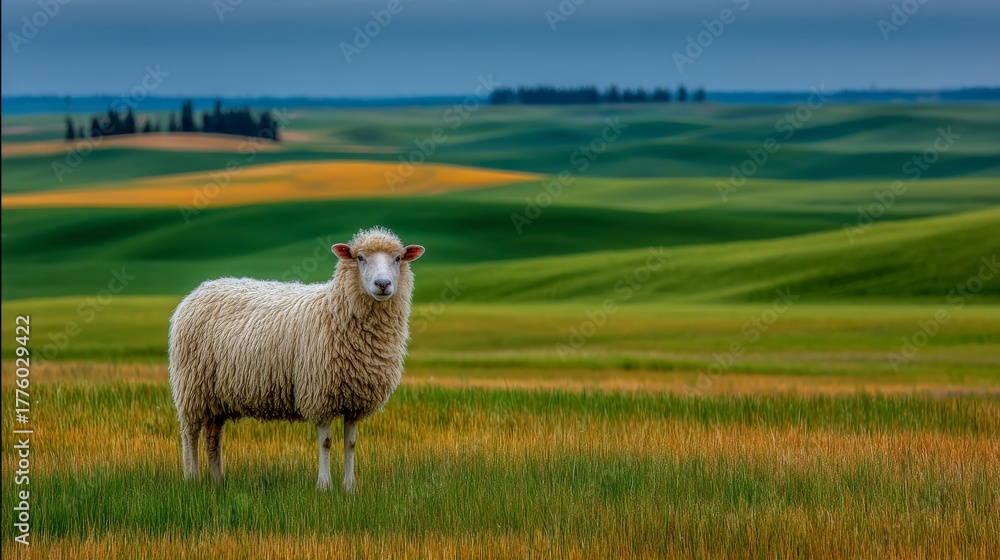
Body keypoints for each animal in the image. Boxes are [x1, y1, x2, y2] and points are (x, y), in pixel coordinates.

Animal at [168, 226, 424, 492]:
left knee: (213, 435)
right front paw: (324, 486)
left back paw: (217, 480)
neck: (333, 310)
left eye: (398, 258)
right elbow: (326, 443)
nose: (382, 284)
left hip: (216, 396)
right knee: (189, 433)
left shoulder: (354, 401)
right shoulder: (320, 395)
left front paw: (349, 487)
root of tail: (200, 290)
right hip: (192, 387)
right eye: (360, 258)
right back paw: (192, 477)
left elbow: (350, 444)